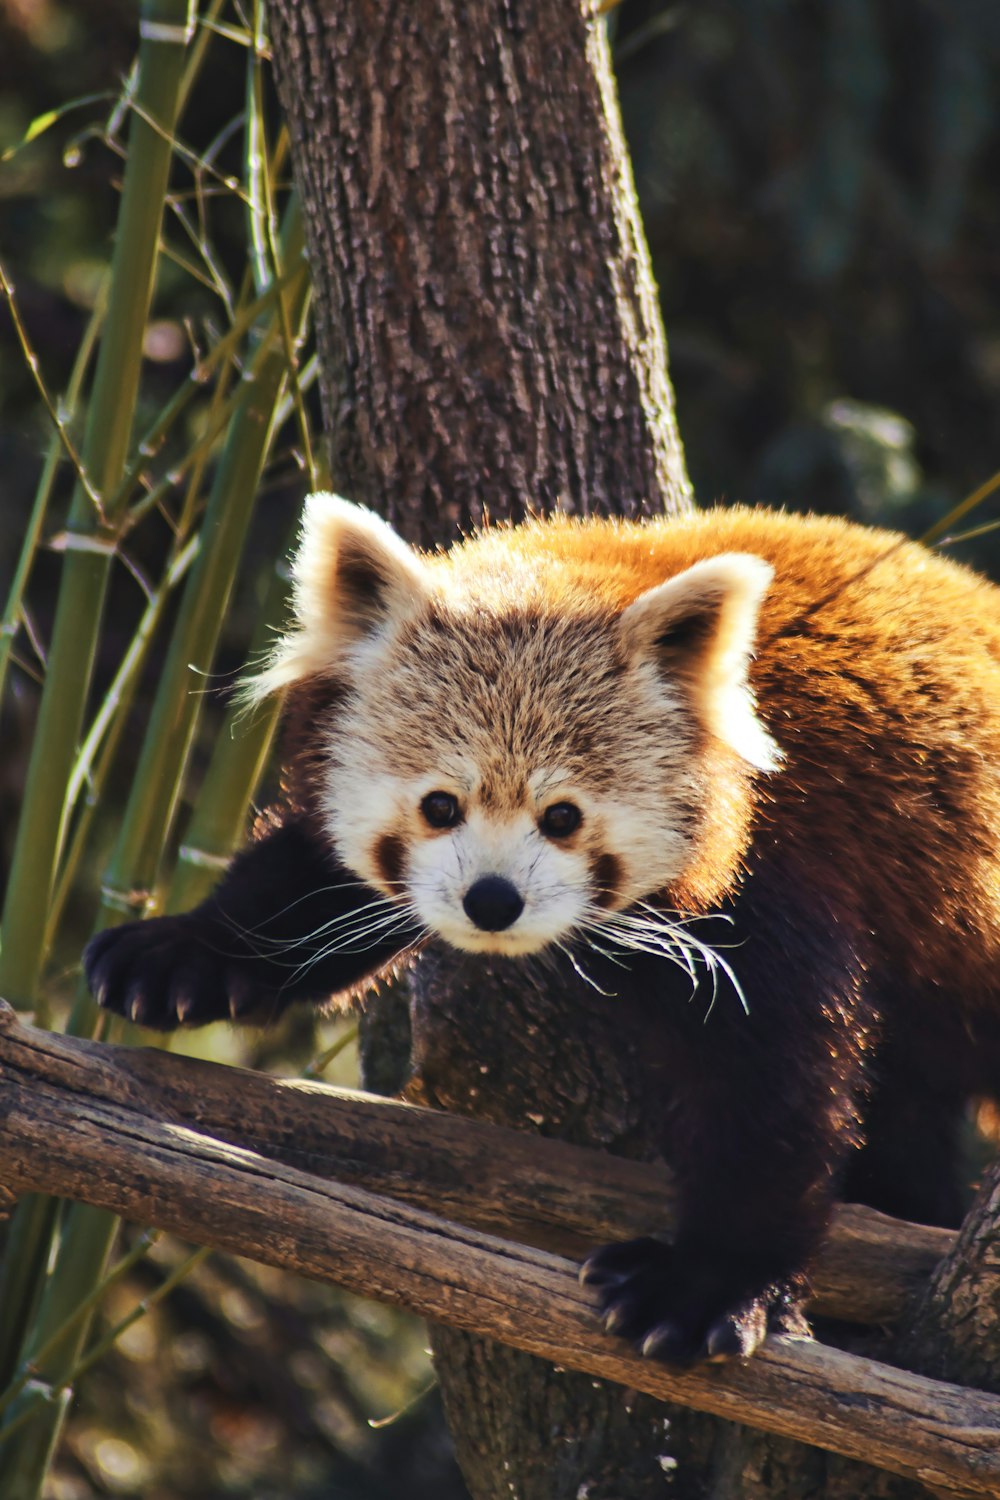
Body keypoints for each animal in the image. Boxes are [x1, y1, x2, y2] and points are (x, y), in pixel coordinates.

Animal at [82, 498, 1000, 1368]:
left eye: (563, 817)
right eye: (440, 806)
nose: (492, 902)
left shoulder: (786, 868)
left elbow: (770, 1087)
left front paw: (707, 1282)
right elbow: (316, 886)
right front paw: (181, 955)